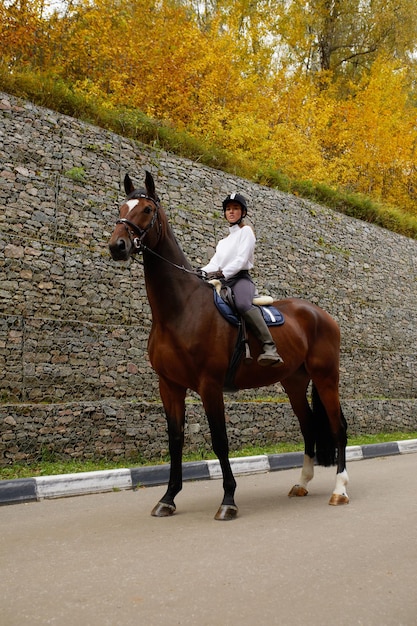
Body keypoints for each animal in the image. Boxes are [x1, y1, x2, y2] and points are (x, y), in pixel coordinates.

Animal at [108, 169, 348, 516]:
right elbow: (175, 440)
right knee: (308, 428)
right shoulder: (169, 385)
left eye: (147, 209)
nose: (118, 245)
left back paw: (340, 490)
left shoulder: (209, 385)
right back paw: (302, 484)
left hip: (327, 378)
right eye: (122, 207)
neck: (180, 310)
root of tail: (322, 315)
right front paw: (168, 497)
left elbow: (220, 441)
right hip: (294, 382)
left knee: (337, 427)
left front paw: (228, 501)